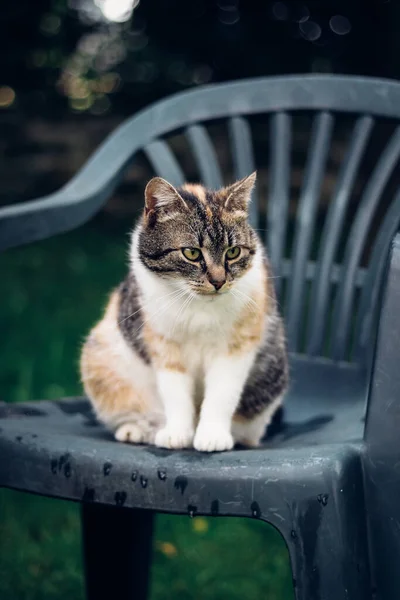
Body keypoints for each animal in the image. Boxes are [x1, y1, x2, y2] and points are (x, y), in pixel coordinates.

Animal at [80, 171, 288, 452]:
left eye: (233, 252)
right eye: (191, 253)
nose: (218, 281)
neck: (198, 307)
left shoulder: (237, 347)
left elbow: (222, 394)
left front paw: (212, 436)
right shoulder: (163, 345)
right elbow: (175, 394)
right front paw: (176, 434)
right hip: (99, 358)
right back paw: (137, 430)